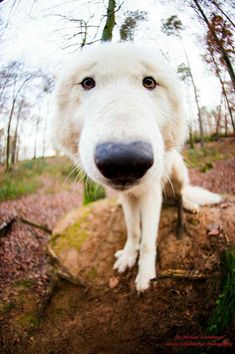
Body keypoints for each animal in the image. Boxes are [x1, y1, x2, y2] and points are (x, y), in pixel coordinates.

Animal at [52, 42, 221, 290]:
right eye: (87, 83)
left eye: (149, 82)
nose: (124, 161)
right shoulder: (128, 198)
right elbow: (133, 231)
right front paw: (129, 256)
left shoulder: (151, 195)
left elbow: (148, 241)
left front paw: (145, 275)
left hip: (177, 172)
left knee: (182, 194)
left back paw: (190, 205)